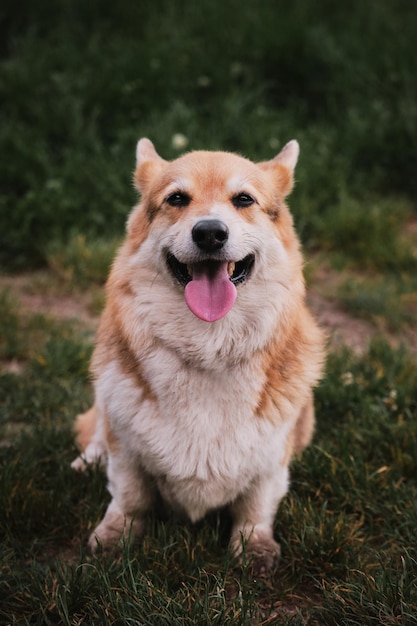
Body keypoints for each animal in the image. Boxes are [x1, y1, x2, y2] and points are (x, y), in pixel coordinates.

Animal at [72, 139, 324, 572]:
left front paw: (253, 548)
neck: (209, 345)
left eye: (244, 199)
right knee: (97, 427)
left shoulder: (272, 460)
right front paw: (116, 537)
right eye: (177, 198)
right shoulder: (127, 452)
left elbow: (256, 507)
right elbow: (130, 496)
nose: (209, 233)